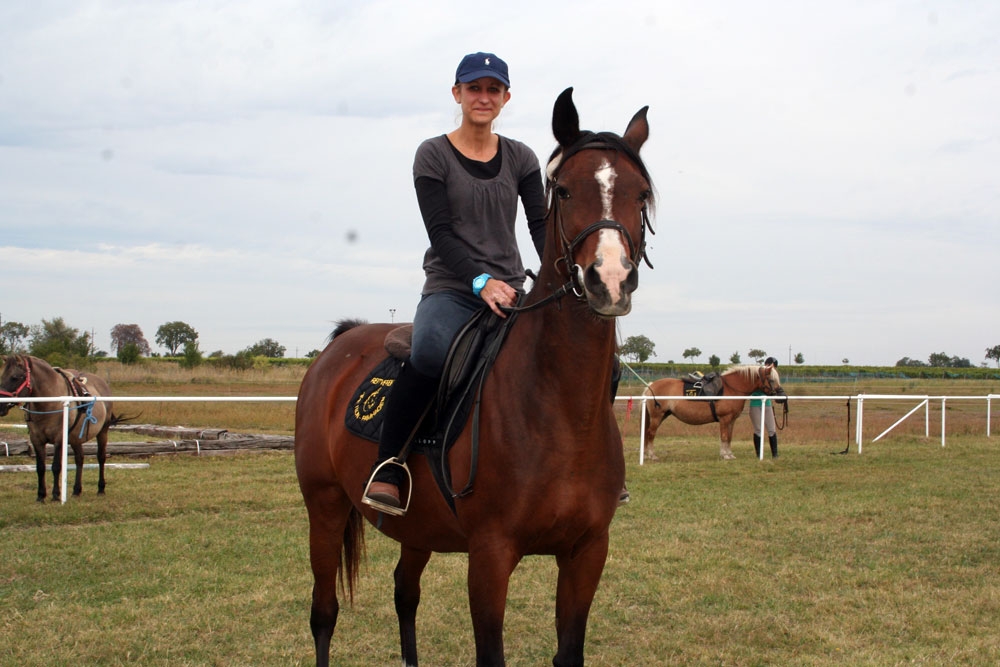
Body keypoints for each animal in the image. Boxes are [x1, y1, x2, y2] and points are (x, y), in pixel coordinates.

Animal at [0, 354, 119, 500]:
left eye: (15, 377)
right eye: (2, 376)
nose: (1, 406)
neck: (48, 404)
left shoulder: (59, 439)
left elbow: (56, 467)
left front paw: (56, 495)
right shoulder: (36, 440)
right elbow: (40, 467)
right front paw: (41, 496)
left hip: (102, 432)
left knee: (101, 458)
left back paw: (101, 488)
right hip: (75, 439)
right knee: (80, 459)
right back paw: (76, 490)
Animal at [294, 88, 656, 667]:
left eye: (640, 194)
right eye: (565, 190)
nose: (610, 279)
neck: (559, 411)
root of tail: (340, 346)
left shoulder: (586, 553)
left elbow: (569, 651)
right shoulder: (490, 556)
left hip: (415, 528)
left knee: (405, 595)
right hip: (324, 507)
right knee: (323, 613)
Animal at [640, 366, 780, 460]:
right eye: (771, 379)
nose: (779, 394)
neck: (731, 388)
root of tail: (651, 386)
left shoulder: (731, 420)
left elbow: (729, 437)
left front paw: (729, 454)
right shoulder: (724, 419)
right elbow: (724, 437)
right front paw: (725, 455)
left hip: (662, 416)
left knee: (648, 433)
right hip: (657, 417)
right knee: (651, 433)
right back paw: (652, 455)